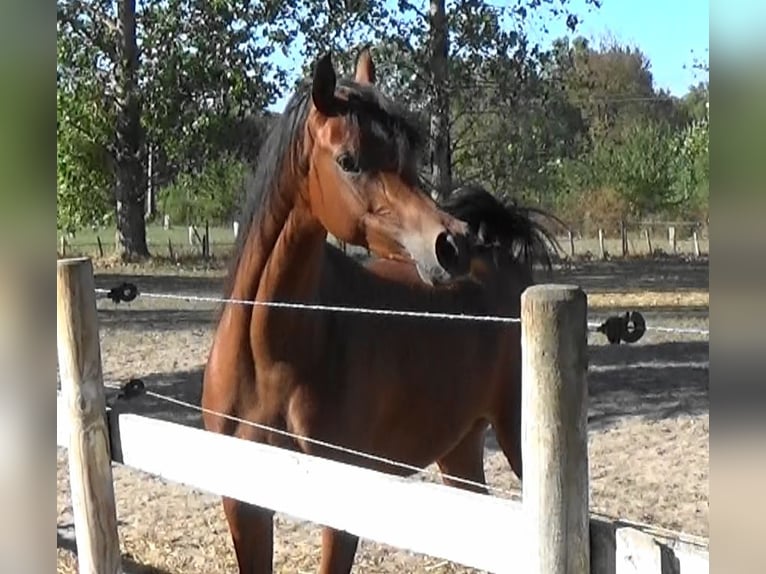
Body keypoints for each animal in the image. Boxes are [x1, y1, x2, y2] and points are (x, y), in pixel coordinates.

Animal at [201, 47, 561, 573]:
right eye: (348, 161)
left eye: (407, 159)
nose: (451, 245)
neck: (271, 357)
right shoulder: (244, 505)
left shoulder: (344, 505)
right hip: (460, 449)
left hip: (516, 441)